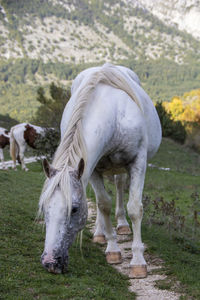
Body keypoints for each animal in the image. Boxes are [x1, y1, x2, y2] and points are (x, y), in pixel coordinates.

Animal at [38, 63, 162, 278]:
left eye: (74, 209)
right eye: (45, 208)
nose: (50, 262)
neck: (113, 114)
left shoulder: (138, 162)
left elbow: (135, 208)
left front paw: (138, 261)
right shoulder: (93, 167)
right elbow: (103, 204)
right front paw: (112, 250)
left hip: (121, 168)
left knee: (120, 185)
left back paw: (122, 225)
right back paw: (99, 233)